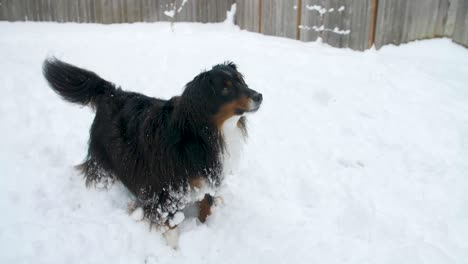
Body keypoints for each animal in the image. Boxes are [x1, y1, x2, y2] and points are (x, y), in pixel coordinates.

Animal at [43, 58, 264, 248]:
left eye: (241, 81)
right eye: (225, 88)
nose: (259, 96)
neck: (203, 134)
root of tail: (111, 92)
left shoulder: (209, 176)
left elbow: (206, 207)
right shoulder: (166, 190)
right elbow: (171, 223)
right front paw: (175, 250)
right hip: (104, 159)